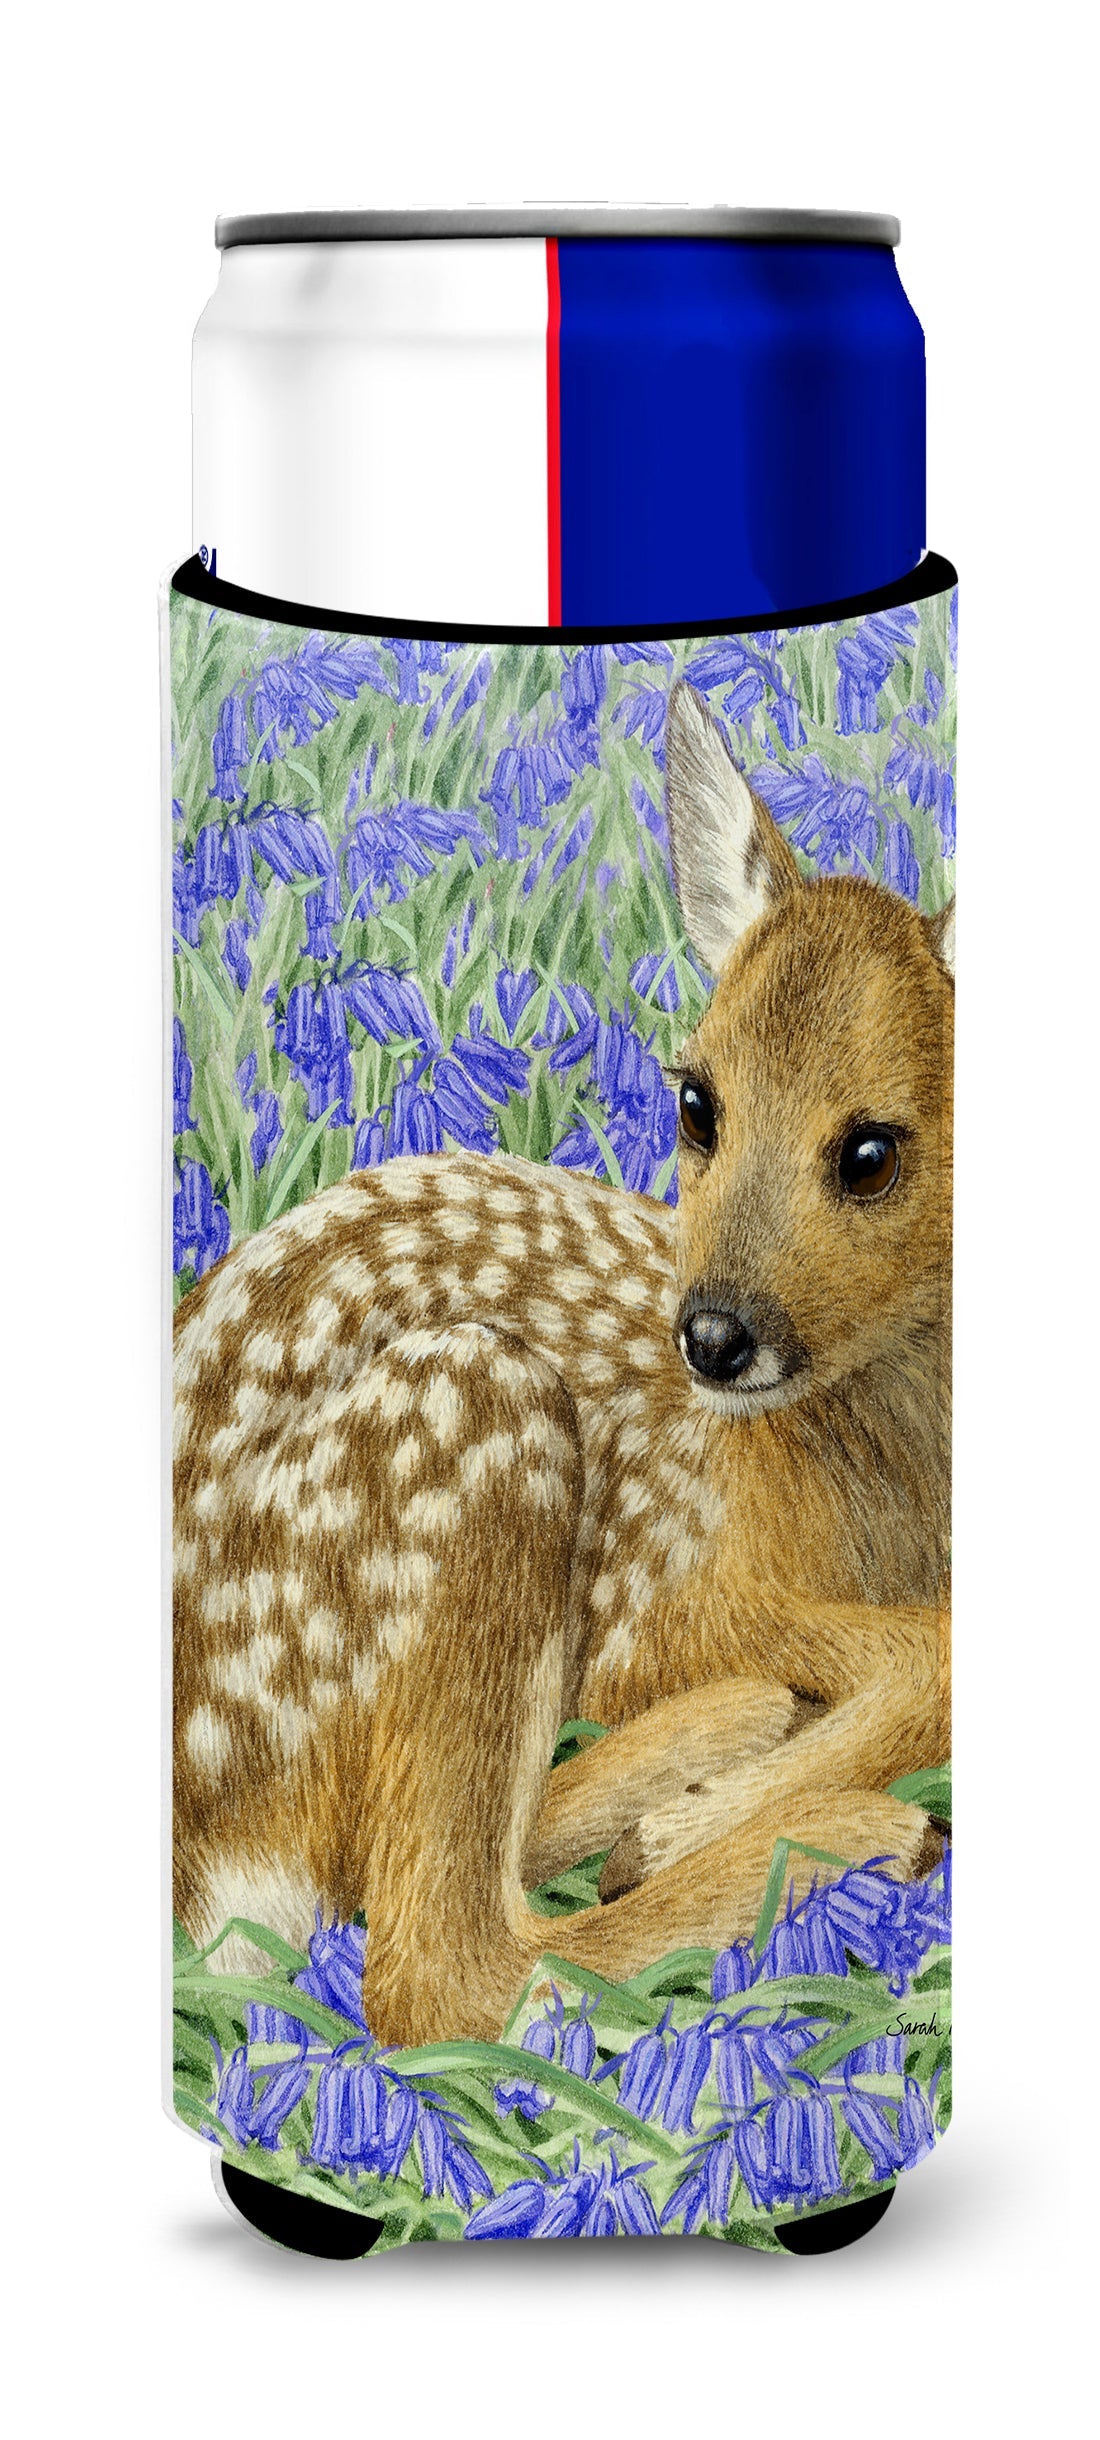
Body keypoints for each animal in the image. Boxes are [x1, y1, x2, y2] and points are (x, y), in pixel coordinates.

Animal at [173, 680, 952, 2048]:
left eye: (870, 1152)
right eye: (695, 1101)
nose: (709, 1334)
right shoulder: (667, 1597)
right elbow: (931, 1647)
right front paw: (694, 1825)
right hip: (475, 1418)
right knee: (440, 1969)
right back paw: (835, 1824)